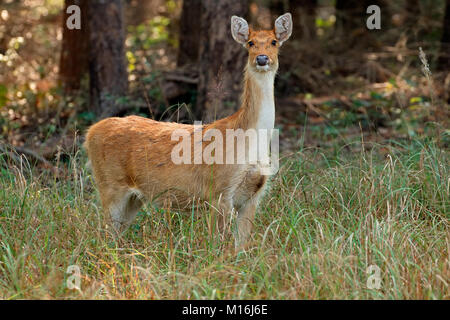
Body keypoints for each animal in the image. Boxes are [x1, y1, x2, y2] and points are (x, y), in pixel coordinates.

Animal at [84, 13, 294, 250]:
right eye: (250, 43)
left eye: (274, 42)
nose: (262, 58)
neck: (248, 142)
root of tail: (90, 133)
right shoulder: (219, 189)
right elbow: (218, 244)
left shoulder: (253, 195)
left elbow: (240, 246)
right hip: (110, 184)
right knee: (103, 235)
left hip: (133, 198)